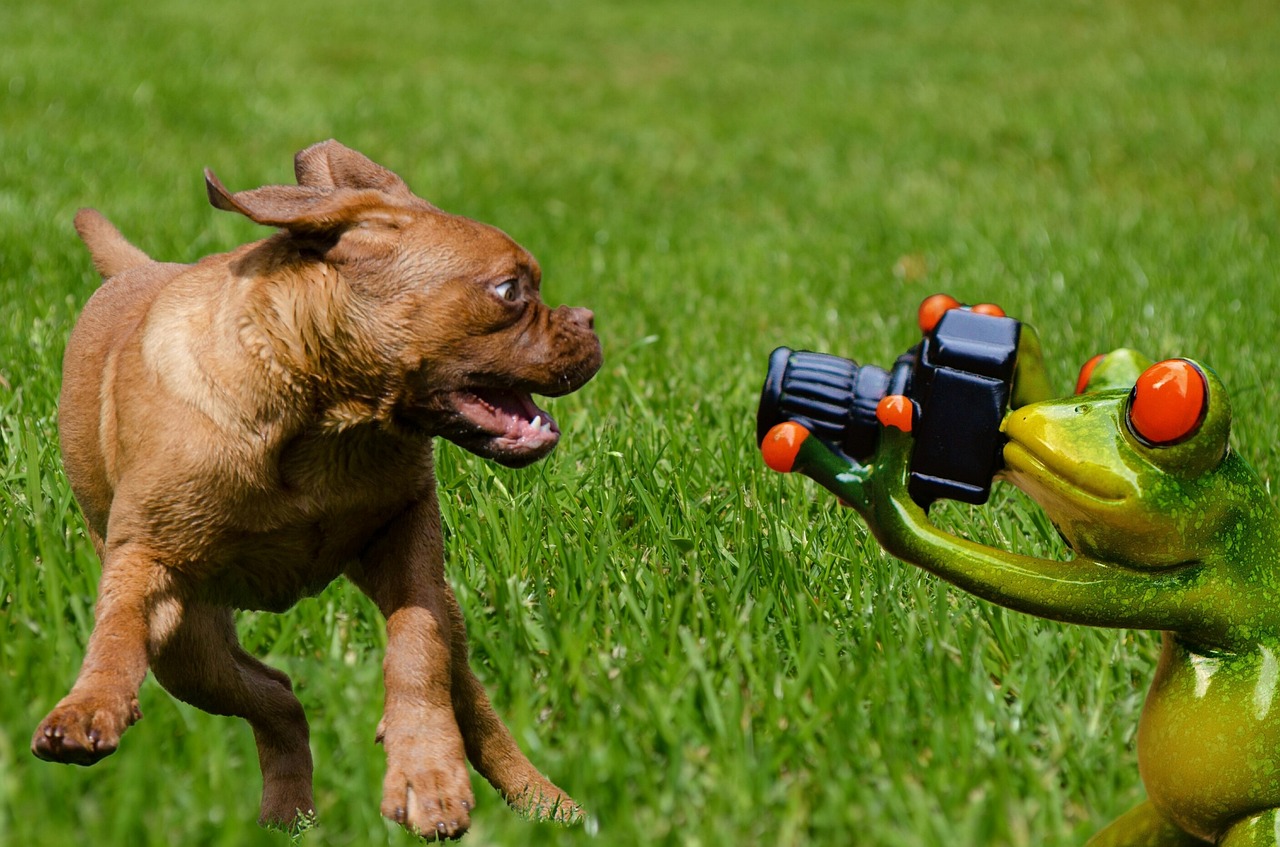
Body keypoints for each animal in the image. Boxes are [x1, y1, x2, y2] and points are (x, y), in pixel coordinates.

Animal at [32, 142, 601, 839]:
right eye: (510, 291)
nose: (588, 320)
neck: (323, 416)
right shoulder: (146, 561)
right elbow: (114, 635)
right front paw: (88, 704)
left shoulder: (409, 544)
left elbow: (416, 650)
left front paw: (426, 772)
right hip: (189, 647)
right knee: (275, 694)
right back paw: (288, 813)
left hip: (434, 623)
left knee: (466, 704)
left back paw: (545, 803)